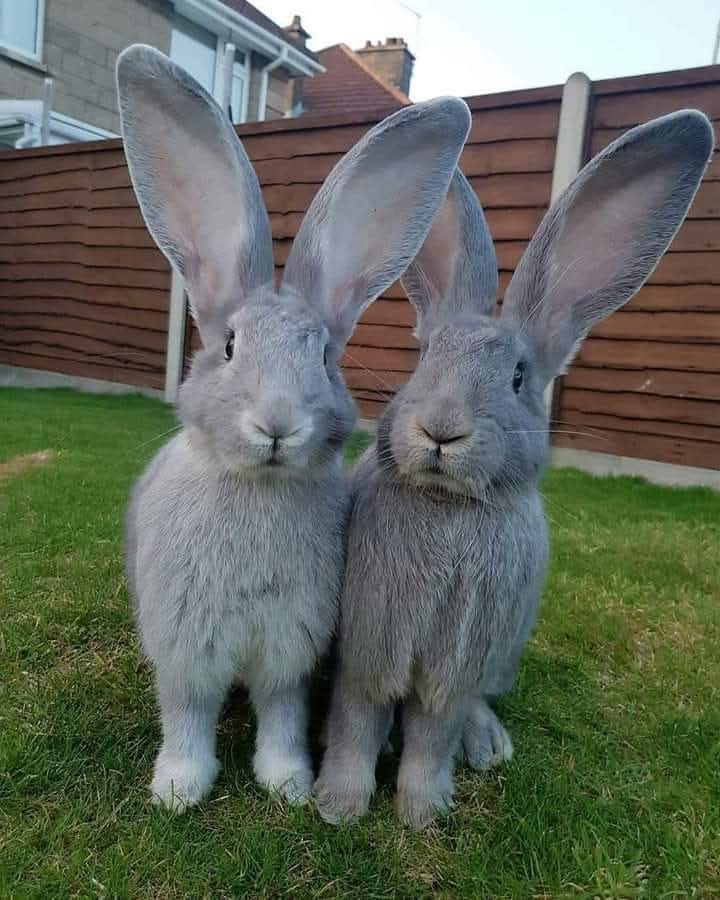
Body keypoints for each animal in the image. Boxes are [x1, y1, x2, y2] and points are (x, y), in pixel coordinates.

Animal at [117, 44, 471, 812]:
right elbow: (187, 717)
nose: (276, 424)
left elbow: (279, 716)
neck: (260, 488)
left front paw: (289, 785)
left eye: (326, 356)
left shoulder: (289, 650)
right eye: (227, 347)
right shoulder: (186, 652)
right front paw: (177, 791)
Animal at [314, 109, 714, 830]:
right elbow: (359, 724)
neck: (448, 505)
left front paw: (422, 812)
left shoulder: (454, 665)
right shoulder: (370, 650)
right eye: (424, 359)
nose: (441, 429)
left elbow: (432, 734)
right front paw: (339, 805)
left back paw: (488, 745)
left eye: (520, 377)